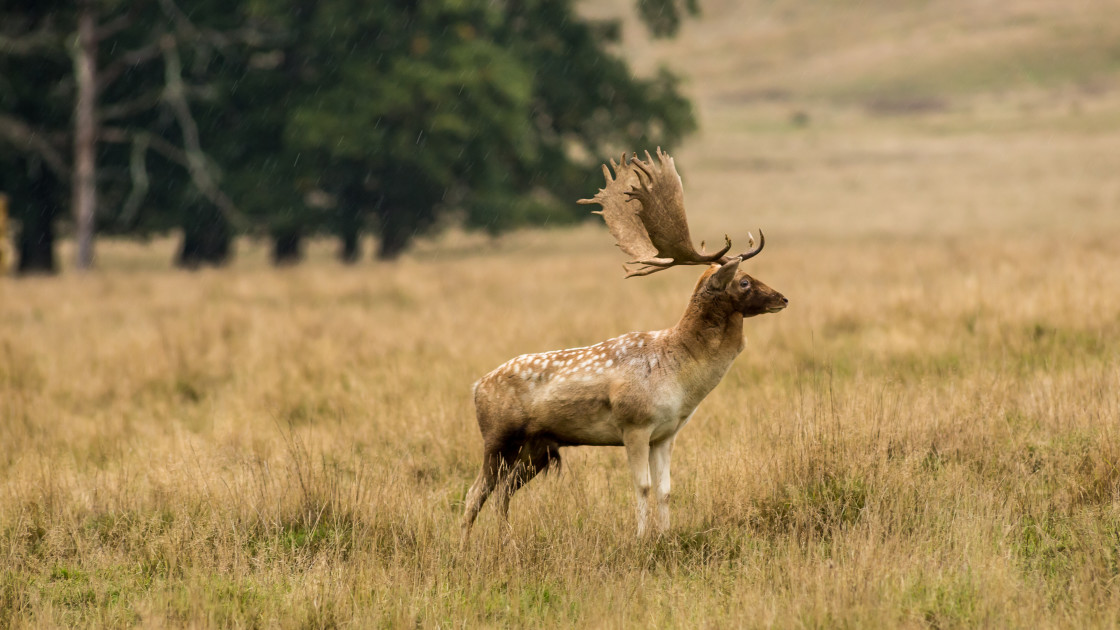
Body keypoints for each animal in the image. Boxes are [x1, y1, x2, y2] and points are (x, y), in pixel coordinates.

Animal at [456, 146, 788, 544]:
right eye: (744, 282)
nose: (783, 298)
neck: (679, 375)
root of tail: (476, 387)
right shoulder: (635, 424)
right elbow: (641, 487)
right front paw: (641, 539)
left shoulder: (667, 433)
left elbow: (665, 489)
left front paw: (665, 536)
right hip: (497, 437)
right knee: (475, 492)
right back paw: (464, 547)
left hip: (537, 448)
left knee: (502, 491)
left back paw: (508, 542)